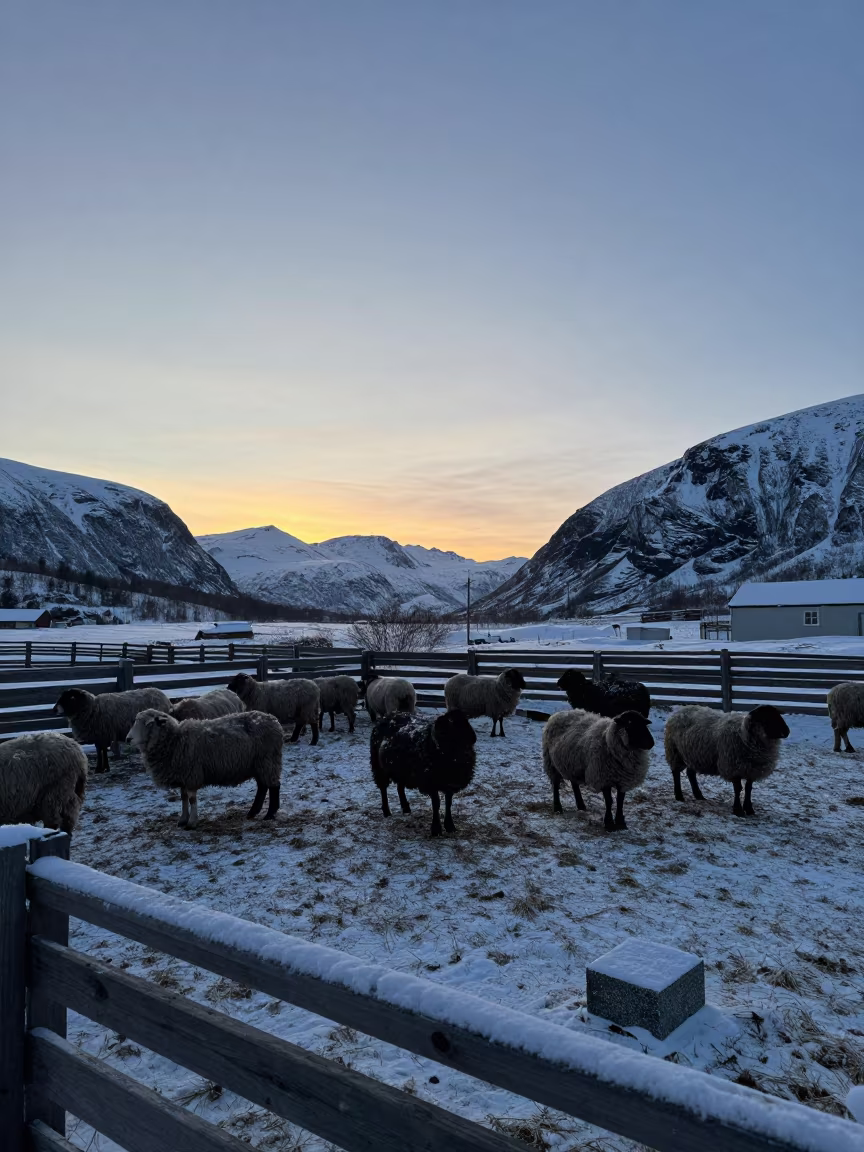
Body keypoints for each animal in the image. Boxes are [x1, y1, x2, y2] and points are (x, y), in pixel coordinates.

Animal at [127, 708, 284, 829]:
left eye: (149, 723)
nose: (128, 739)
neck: (175, 739)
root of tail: (273, 720)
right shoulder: (183, 776)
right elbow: (183, 798)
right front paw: (182, 820)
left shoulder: (191, 774)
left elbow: (191, 799)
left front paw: (192, 822)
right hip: (258, 764)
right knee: (262, 787)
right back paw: (253, 812)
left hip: (268, 760)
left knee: (274, 786)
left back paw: (270, 814)